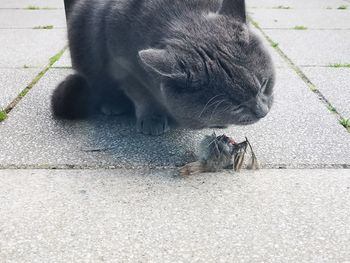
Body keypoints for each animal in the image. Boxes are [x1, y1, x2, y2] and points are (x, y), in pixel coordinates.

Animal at [52, 0, 274, 136]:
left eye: (264, 84)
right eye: (235, 105)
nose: (263, 112)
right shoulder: (123, 64)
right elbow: (142, 94)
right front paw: (152, 118)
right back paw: (113, 104)